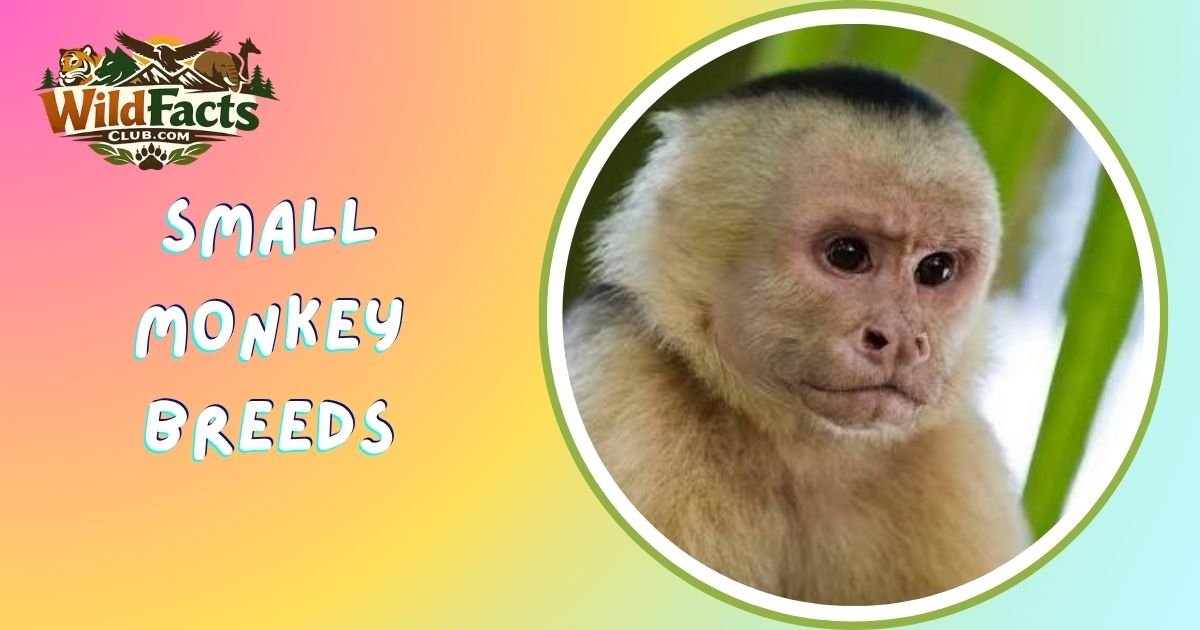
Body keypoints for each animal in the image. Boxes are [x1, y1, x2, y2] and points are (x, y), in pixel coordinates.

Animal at [564, 65, 1030, 605]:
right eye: (847, 254)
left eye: (936, 269)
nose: (900, 338)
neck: (799, 452)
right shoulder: (623, 393)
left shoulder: (960, 461)